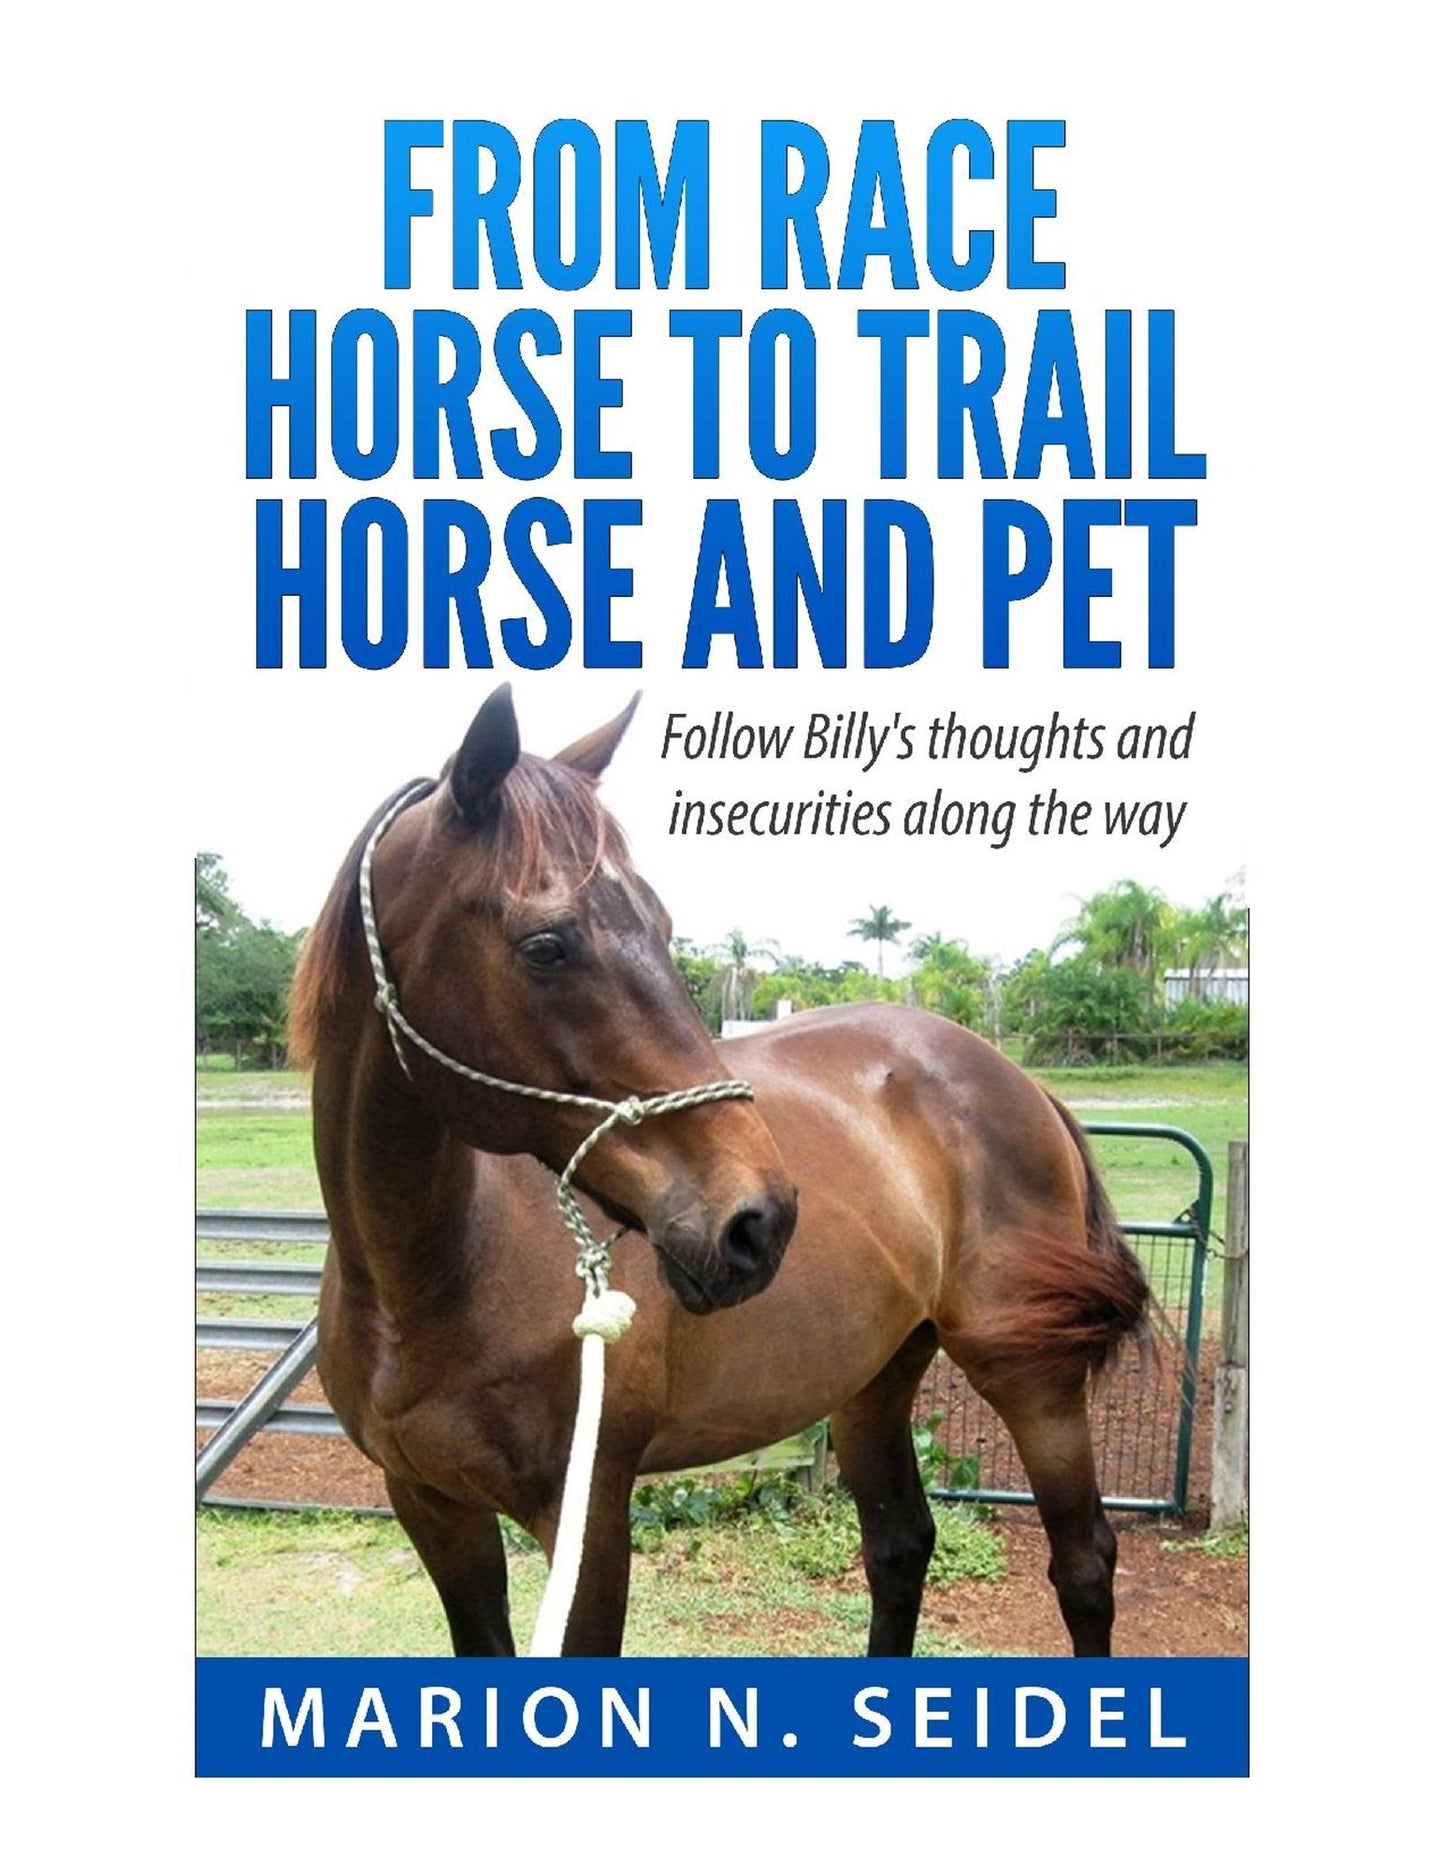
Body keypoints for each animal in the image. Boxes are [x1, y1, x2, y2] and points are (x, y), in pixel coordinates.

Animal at [289, 685, 1150, 1658]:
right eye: (545, 945)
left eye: (664, 928)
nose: (758, 1220)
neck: (427, 1282)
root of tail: (1018, 1078)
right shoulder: (433, 1510)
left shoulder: (588, 1520)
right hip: (874, 1374)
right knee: (899, 1544)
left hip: (1028, 1375)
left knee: (1082, 1565)